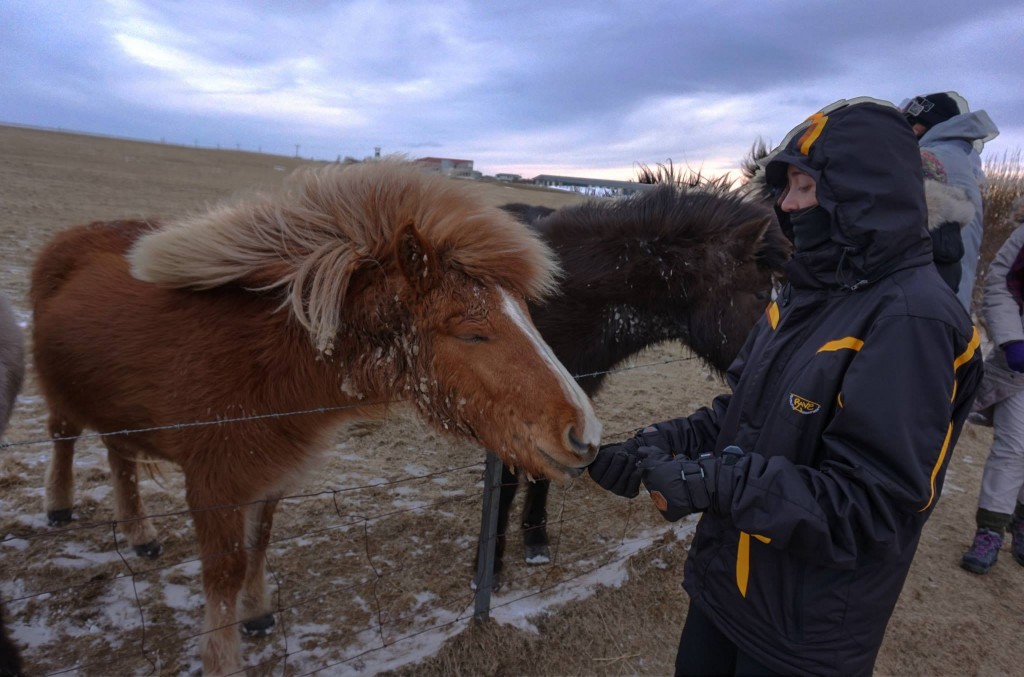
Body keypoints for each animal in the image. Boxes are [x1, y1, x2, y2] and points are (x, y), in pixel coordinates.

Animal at [32, 159, 602, 675]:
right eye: (472, 332)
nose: (584, 434)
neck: (261, 361)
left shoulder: (269, 478)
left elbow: (258, 544)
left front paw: (257, 614)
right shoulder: (213, 485)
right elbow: (225, 570)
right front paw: (223, 660)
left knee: (119, 455)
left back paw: (140, 533)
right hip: (61, 396)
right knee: (64, 437)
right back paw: (60, 507)